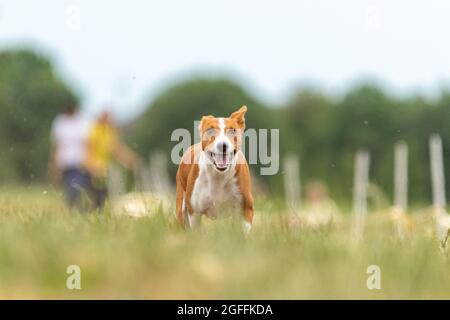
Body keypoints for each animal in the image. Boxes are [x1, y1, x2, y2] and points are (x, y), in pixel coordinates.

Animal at [175, 106, 253, 234]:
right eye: (210, 130)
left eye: (233, 130)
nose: (223, 145)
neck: (219, 176)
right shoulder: (194, 212)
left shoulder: (246, 208)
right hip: (181, 207)